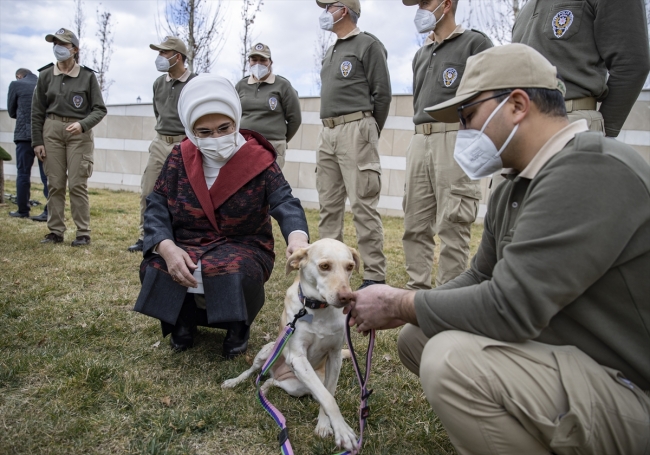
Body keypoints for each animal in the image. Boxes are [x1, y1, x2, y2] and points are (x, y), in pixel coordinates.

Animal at [223, 239, 360, 452]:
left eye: (350, 267)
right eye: (324, 266)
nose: (347, 297)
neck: (317, 310)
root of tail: (277, 373)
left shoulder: (335, 356)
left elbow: (327, 394)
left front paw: (324, 425)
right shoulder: (297, 356)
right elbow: (328, 398)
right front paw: (343, 431)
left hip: (298, 385)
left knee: (273, 382)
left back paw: (264, 390)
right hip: (268, 350)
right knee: (253, 371)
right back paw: (234, 381)